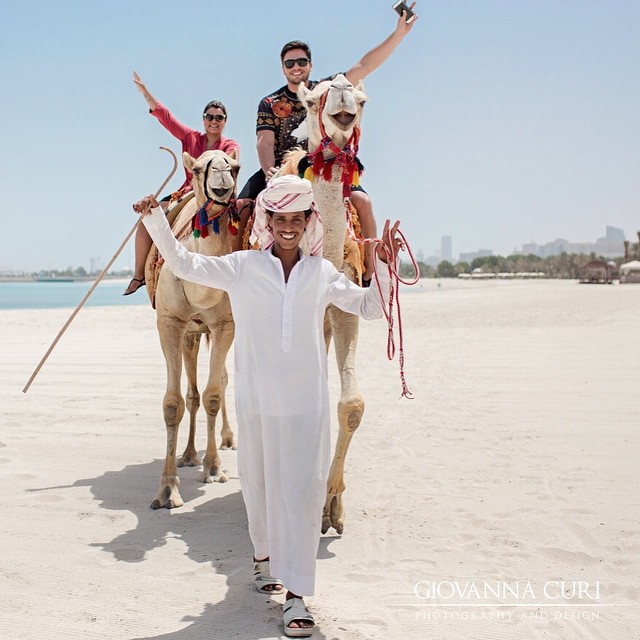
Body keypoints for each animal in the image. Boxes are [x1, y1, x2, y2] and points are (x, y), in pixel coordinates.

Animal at [148, 149, 240, 510]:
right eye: (199, 169)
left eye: (236, 167)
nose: (223, 176)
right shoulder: (170, 323)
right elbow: (173, 403)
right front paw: (167, 489)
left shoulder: (225, 324)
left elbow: (214, 394)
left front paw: (214, 468)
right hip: (191, 332)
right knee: (191, 393)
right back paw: (187, 456)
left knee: (220, 383)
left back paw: (224, 442)